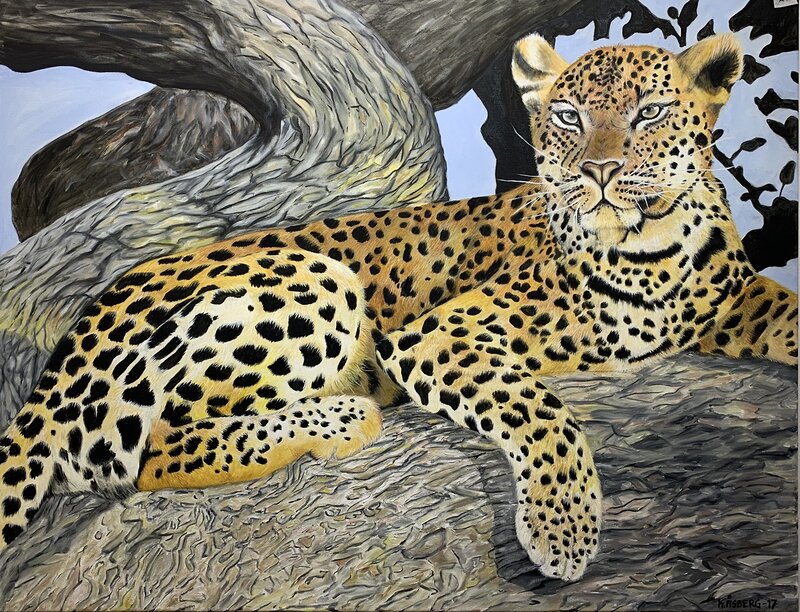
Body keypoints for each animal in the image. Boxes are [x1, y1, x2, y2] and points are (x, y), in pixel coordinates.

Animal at [0, 33, 796, 582]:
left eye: (651, 112)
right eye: (568, 116)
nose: (598, 171)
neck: (652, 248)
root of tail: (67, 352)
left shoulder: (738, 301)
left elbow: (785, 314)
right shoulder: (440, 332)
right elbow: (538, 406)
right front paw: (563, 529)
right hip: (312, 279)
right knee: (148, 452)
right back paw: (339, 416)